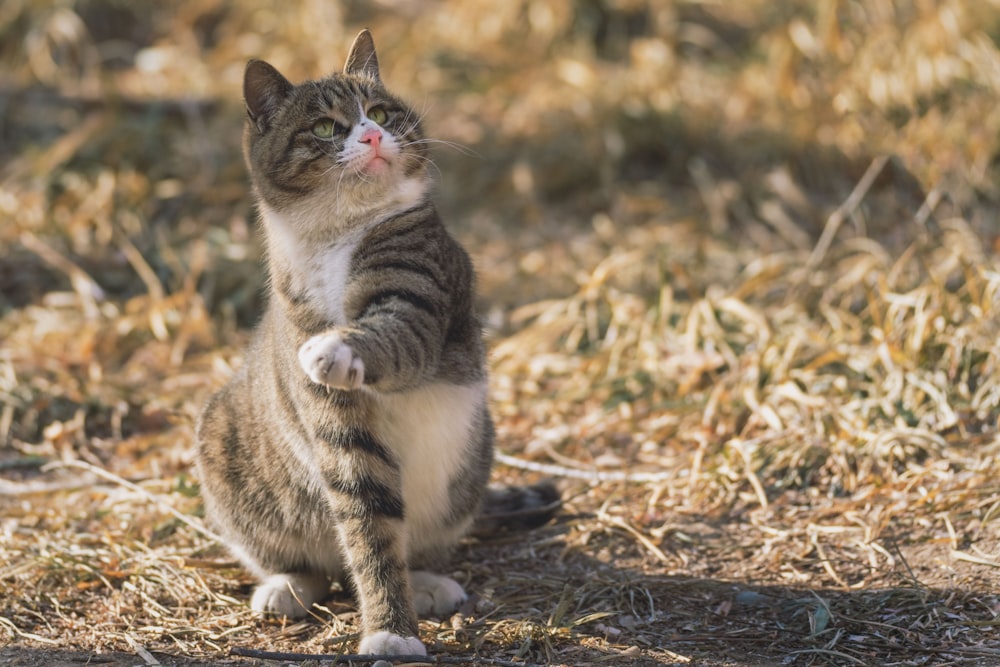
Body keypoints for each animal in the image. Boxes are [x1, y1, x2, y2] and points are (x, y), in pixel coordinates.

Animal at [192, 28, 560, 656]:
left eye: (382, 113)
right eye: (324, 127)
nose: (370, 134)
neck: (337, 235)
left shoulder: (420, 289)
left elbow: (395, 335)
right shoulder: (333, 414)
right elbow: (367, 520)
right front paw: (391, 627)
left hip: (468, 466)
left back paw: (429, 582)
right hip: (222, 442)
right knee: (308, 561)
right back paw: (289, 584)